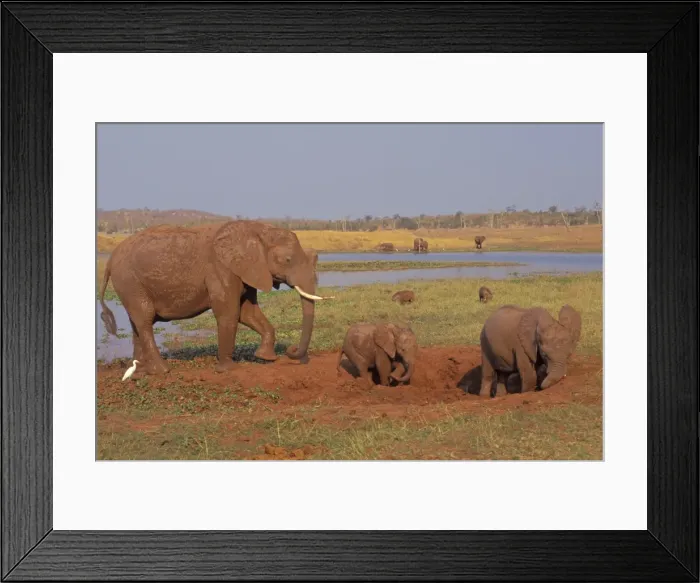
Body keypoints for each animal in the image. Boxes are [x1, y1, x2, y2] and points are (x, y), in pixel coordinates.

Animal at [98, 220, 333, 375]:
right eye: (287, 260)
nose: (292, 351)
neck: (257, 229)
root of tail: (110, 260)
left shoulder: (247, 270)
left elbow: (248, 313)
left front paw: (265, 358)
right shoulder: (222, 268)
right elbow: (229, 312)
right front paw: (228, 369)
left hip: (130, 285)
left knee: (137, 323)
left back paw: (140, 370)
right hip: (129, 281)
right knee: (145, 320)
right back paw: (162, 370)